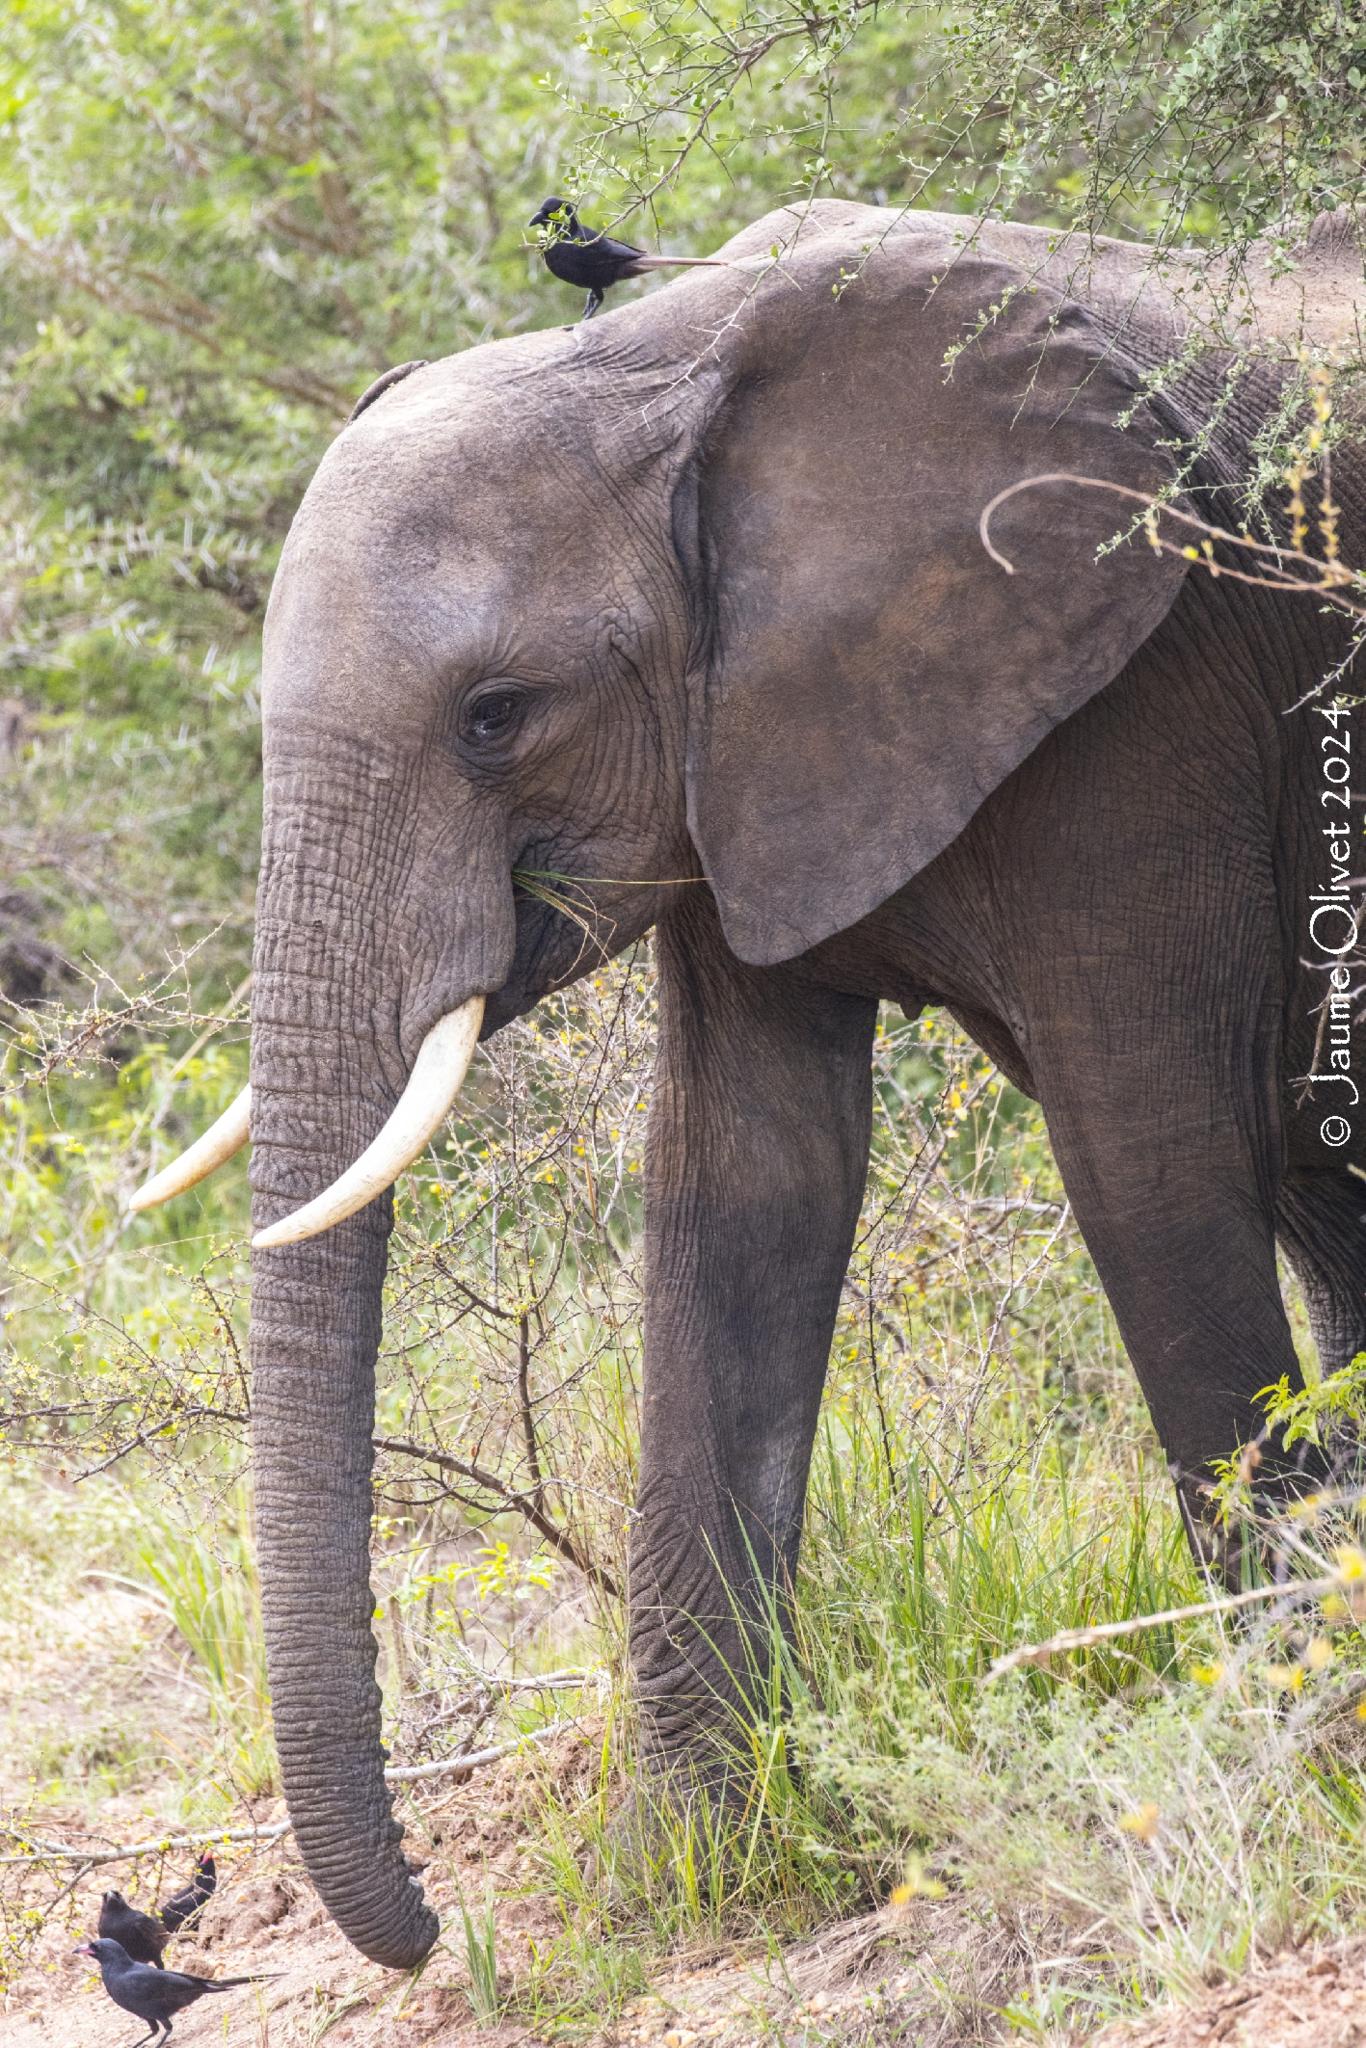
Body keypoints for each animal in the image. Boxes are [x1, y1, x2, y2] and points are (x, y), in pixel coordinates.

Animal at [136, 203, 1366, 1966]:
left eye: (495, 718)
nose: (430, 1929)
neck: (662, 369)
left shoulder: (1143, 696)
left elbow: (1143, 1159)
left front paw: (1296, 1764)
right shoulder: (745, 748)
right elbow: (742, 1175)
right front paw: (682, 1871)